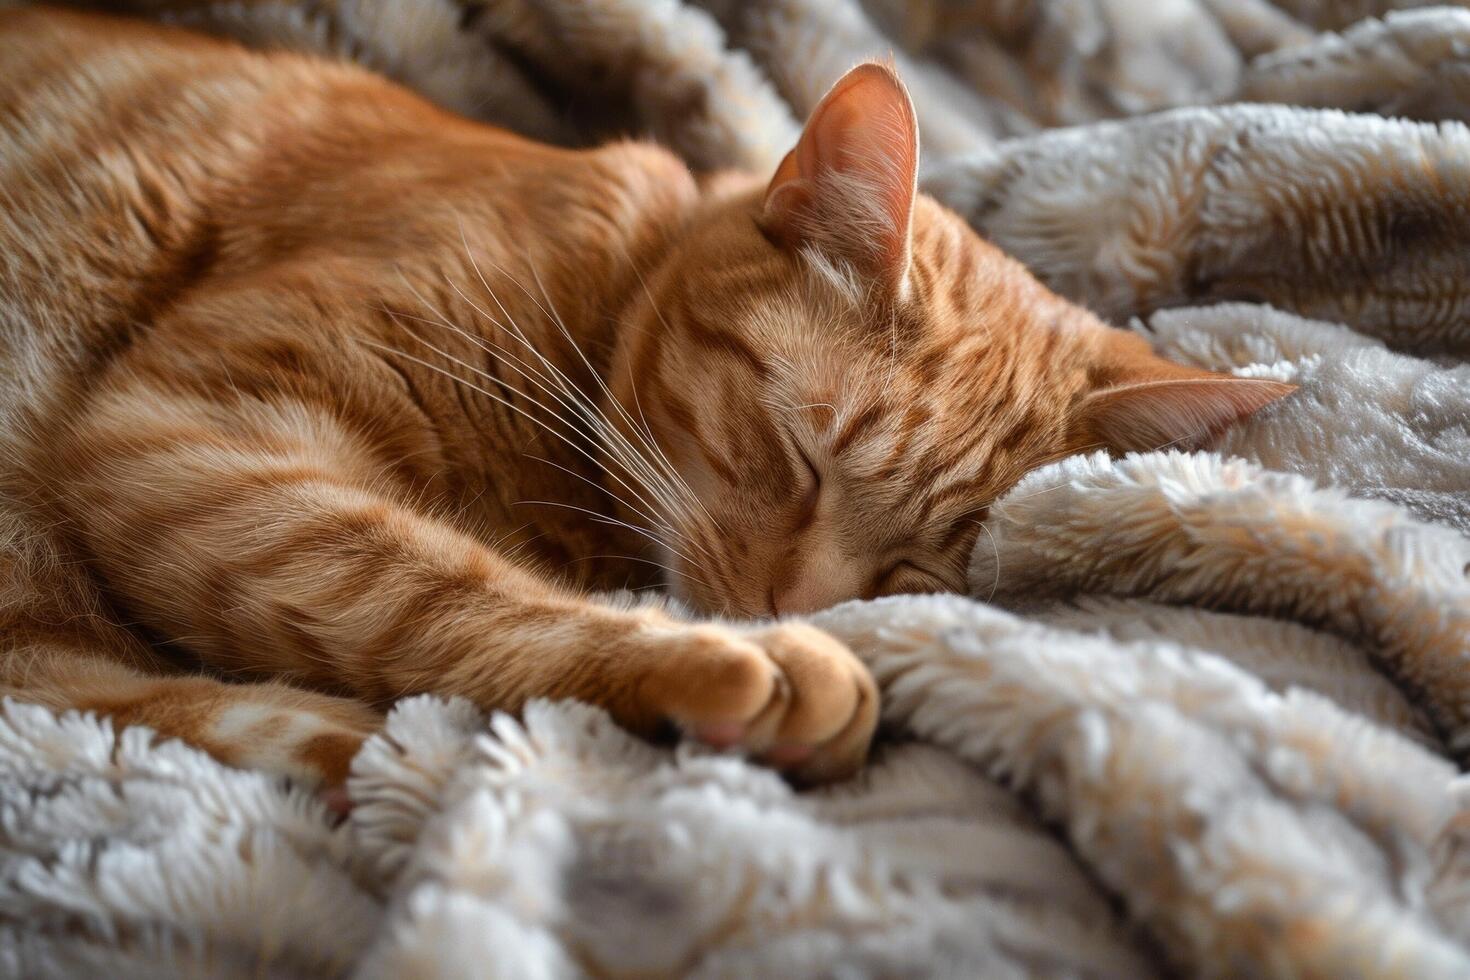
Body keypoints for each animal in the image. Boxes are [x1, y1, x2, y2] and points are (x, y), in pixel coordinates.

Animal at [0, 7, 1287, 799]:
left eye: (914, 569)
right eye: (799, 459)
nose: (781, 609)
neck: (602, 285)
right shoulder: (186, 427)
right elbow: (439, 588)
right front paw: (727, 661)